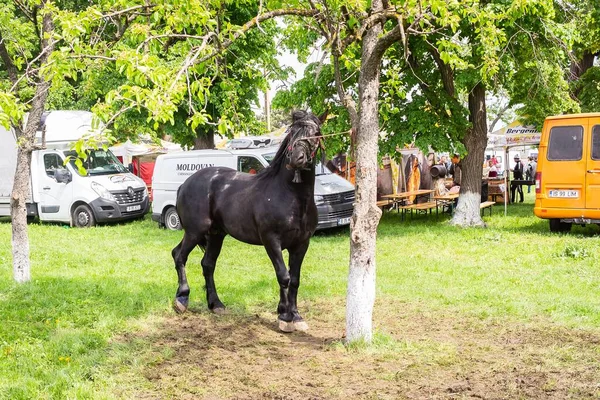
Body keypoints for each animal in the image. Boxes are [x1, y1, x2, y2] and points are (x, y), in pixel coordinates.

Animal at [173, 109, 324, 332]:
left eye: (315, 133)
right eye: (292, 132)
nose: (296, 158)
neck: (290, 196)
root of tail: (185, 183)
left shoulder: (301, 244)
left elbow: (294, 279)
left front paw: (295, 316)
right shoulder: (271, 241)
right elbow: (283, 276)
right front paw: (285, 317)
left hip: (216, 235)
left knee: (207, 264)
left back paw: (216, 304)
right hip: (194, 232)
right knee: (179, 256)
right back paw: (182, 299)